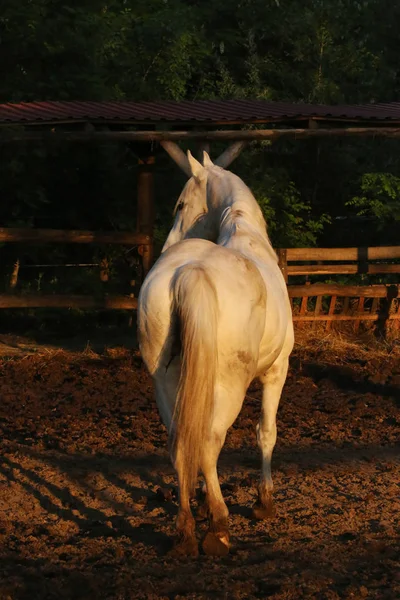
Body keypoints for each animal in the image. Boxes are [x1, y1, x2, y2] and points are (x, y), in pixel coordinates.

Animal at [138, 151, 294, 556]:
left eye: (180, 204)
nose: (166, 245)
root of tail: (189, 272)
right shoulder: (277, 372)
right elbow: (266, 432)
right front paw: (264, 502)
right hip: (230, 386)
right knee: (209, 443)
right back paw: (219, 528)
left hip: (166, 383)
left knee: (179, 443)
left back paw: (186, 532)